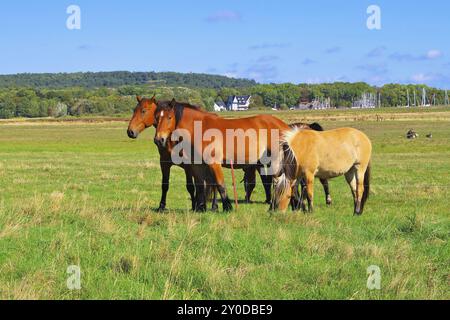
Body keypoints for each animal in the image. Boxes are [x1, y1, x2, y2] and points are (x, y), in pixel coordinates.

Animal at [153, 100, 290, 212]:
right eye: (156, 118)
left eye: (169, 117)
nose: (159, 139)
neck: (200, 128)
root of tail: (283, 125)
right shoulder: (197, 165)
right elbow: (200, 185)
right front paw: (201, 207)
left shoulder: (214, 163)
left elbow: (220, 184)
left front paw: (227, 207)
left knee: (277, 182)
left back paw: (273, 206)